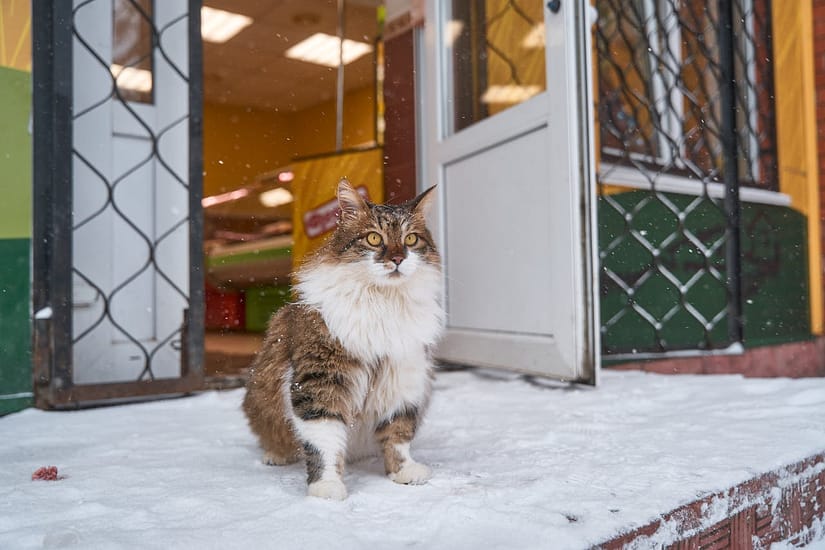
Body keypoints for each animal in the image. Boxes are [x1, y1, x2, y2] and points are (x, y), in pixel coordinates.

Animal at [243, 179, 444, 502]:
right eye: (374, 238)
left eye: (411, 239)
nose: (398, 259)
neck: (383, 303)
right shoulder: (321, 380)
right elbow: (324, 443)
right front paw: (326, 487)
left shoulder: (404, 377)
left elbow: (398, 434)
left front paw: (403, 471)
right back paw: (276, 455)